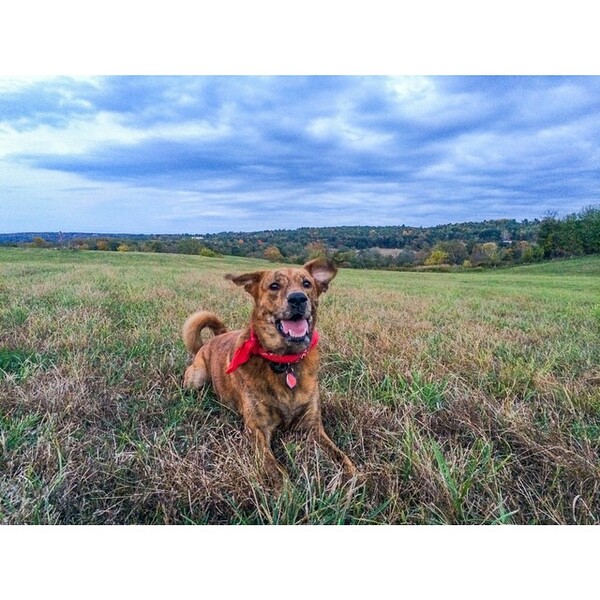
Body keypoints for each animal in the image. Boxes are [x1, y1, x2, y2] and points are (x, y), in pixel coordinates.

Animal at [183, 258, 356, 482]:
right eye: (274, 286)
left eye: (307, 284)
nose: (298, 299)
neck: (284, 361)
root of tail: (214, 338)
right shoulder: (258, 429)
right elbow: (274, 469)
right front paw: (288, 489)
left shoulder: (312, 426)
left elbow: (339, 455)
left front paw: (355, 477)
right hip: (197, 378)